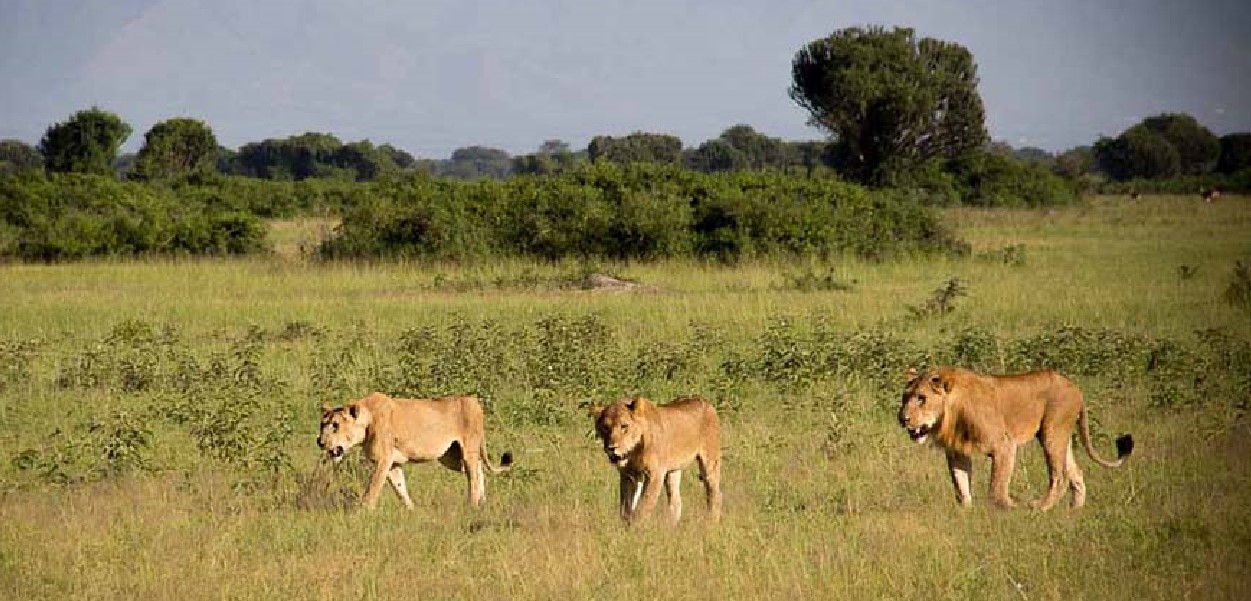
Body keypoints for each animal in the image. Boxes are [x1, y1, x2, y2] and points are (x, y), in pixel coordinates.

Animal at [320, 393, 510, 508]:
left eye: (335, 426)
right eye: (322, 425)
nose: (320, 442)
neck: (367, 421)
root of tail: (474, 400)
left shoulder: (384, 459)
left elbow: (373, 487)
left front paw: (363, 511)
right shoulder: (393, 463)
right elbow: (400, 488)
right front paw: (411, 510)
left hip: (468, 449)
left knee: (474, 475)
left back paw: (472, 504)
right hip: (451, 457)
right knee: (478, 468)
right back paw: (482, 503)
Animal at [587, 395, 725, 523]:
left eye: (624, 426)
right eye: (605, 427)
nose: (611, 447)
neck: (634, 450)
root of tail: (706, 402)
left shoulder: (655, 473)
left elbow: (644, 504)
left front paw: (636, 527)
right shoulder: (629, 475)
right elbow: (626, 506)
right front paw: (626, 525)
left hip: (710, 462)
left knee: (715, 494)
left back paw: (711, 523)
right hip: (673, 470)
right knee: (675, 501)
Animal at [900, 365, 1135, 510]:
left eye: (921, 398)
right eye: (905, 397)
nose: (902, 418)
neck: (949, 414)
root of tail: (1075, 388)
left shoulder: (1003, 445)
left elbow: (996, 488)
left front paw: (1011, 507)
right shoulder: (957, 451)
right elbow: (961, 486)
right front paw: (966, 513)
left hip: (1052, 432)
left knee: (1060, 477)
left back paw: (1038, 508)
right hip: (1061, 436)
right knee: (1076, 473)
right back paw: (1073, 512)